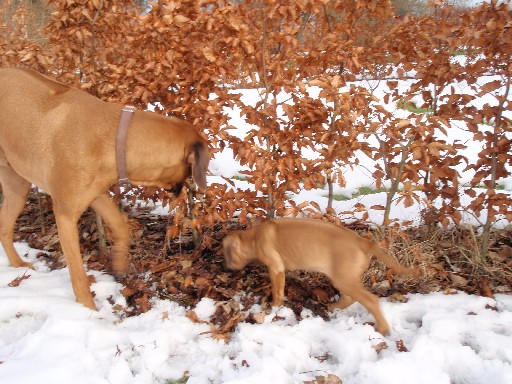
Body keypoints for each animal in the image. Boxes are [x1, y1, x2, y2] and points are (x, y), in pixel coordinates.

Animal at [0, 67, 210, 310]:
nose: (193, 189)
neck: (115, 138)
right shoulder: (65, 215)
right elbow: (78, 273)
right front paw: (88, 308)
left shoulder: (96, 193)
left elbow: (120, 225)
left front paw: (119, 263)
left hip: (17, 185)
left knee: (4, 226)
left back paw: (17, 264)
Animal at [222, 218, 418, 334]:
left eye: (227, 253)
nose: (225, 268)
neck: (254, 237)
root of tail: (363, 241)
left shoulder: (276, 269)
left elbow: (278, 292)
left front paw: (274, 308)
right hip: (344, 278)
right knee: (350, 298)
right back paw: (332, 307)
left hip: (343, 278)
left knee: (370, 300)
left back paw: (383, 328)